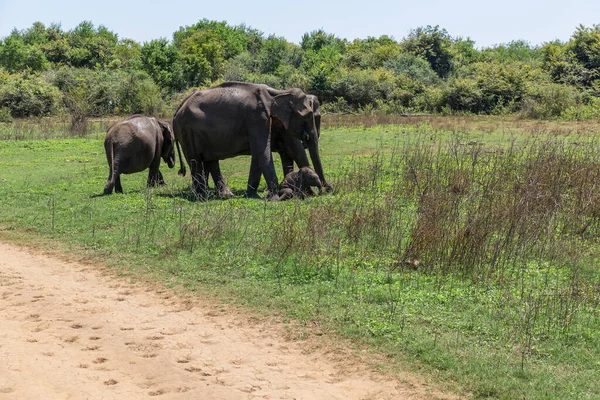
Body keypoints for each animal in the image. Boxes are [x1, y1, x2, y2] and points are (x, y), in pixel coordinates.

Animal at [171, 81, 326, 200]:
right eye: (308, 116)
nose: (326, 190)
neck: (276, 93)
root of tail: (177, 110)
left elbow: (259, 153)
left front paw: (253, 195)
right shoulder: (257, 117)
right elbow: (263, 151)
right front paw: (275, 197)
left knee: (210, 160)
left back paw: (224, 195)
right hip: (187, 131)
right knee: (195, 161)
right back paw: (202, 197)